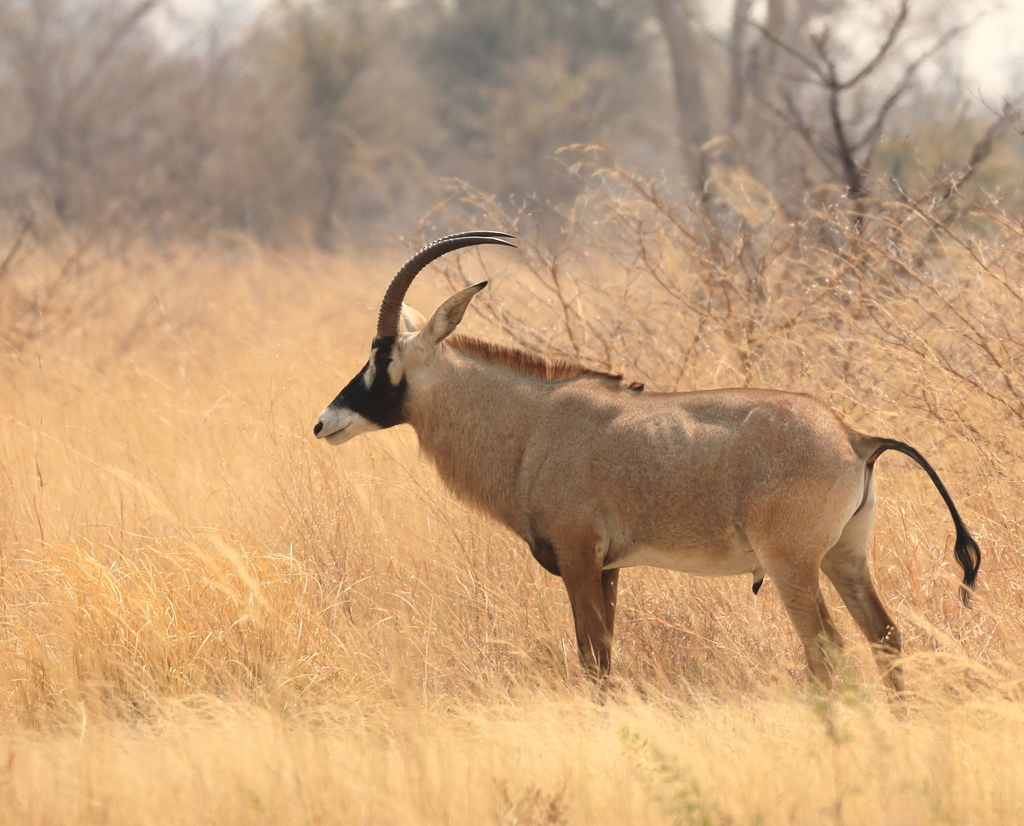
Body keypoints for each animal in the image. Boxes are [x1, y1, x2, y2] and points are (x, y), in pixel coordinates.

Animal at [313, 231, 980, 690]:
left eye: (382, 358)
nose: (324, 422)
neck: (534, 423)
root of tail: (854, 436)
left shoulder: (580, 560)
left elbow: (592, 663)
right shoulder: (610, 570)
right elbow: (605, 658)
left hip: (793, 565)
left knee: (828, 650)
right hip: (845, 557)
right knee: (885, 637)